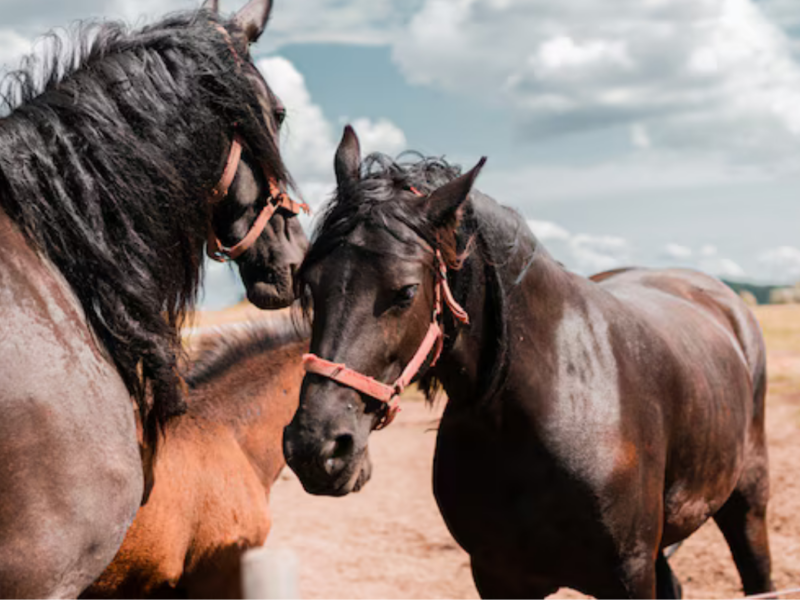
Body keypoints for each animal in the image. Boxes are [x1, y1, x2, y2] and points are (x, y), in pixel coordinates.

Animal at [283, 126, 773, 598]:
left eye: (405, 292)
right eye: (310, 282)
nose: (315, 447)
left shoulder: (630, 575)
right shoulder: (497, 576)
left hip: (747, 503)